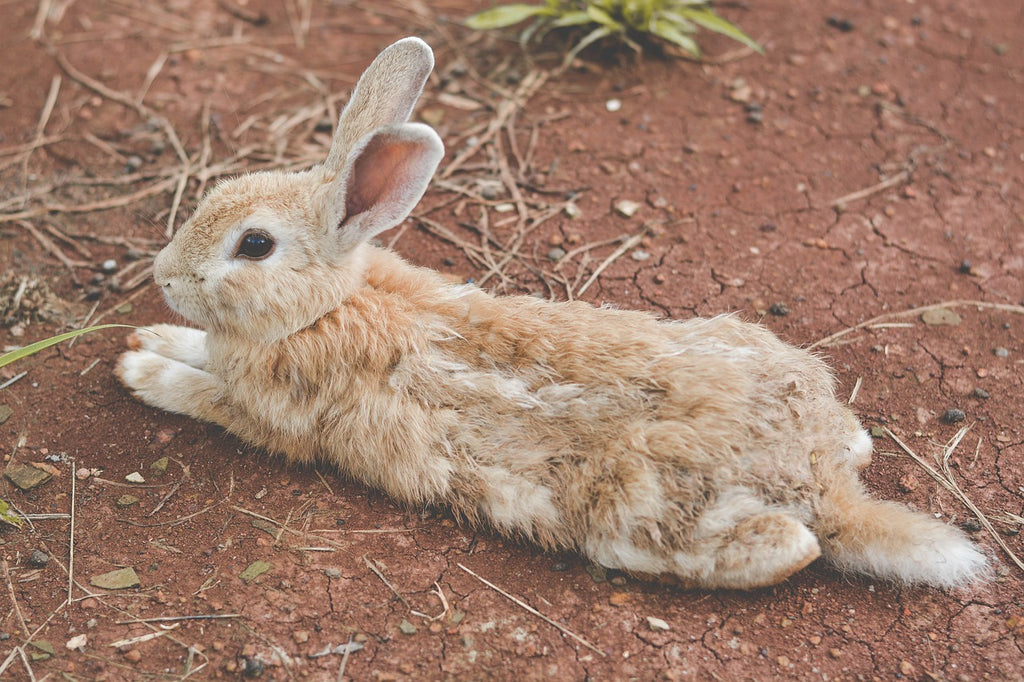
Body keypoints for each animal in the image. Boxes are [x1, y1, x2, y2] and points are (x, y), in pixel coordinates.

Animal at [116, 38, 987, 589]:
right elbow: (198, 349)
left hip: (642, 519)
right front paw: (152, 336)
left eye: (254, 245)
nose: (164, 275)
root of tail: (821, 485)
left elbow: (201, 393)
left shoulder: (269, 415)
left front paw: (140, 367)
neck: (325, 305)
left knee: (789, 549)